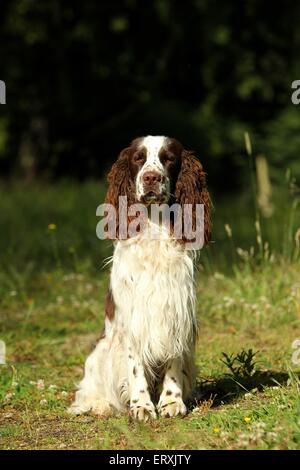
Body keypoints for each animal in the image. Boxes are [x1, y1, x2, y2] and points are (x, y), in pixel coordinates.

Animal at [68, 136, 211, 422]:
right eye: (138, 158)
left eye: (169, 158)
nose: (151, 177)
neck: (155, 226)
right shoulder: (132, 320)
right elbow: (135, 369)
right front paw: (142, 406)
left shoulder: (176, 311)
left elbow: (173, 360)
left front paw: (171, 401)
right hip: (101, 352)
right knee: (89, 390)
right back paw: (99, 405)